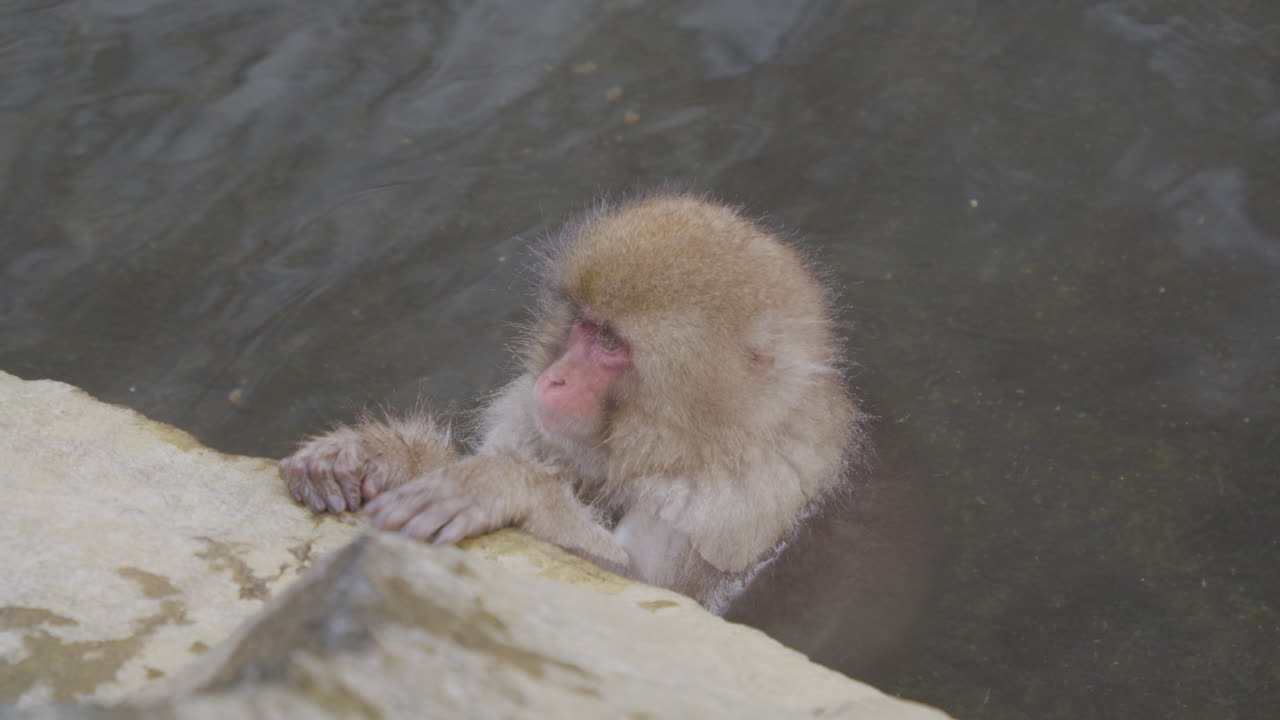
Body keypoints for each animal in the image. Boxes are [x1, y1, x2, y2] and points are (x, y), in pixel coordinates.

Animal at [279, 193, 869, 614]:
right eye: (584, 324)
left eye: (610, 344)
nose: (556, 379)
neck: (695, 444)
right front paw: (378, 453)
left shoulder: (741, 505)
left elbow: (645, 589)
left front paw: (500, 486)